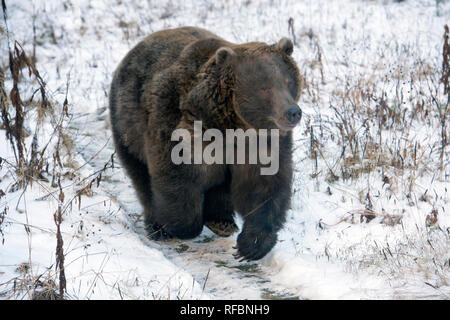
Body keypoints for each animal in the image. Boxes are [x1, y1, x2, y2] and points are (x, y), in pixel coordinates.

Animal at [109, 26, 304, 260]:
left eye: (288, 82)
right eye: (264, 87)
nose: (292, 112)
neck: (231, 125)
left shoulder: (261, 143)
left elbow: (264, 185)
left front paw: (252, 244)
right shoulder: (177, 126)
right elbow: (175, 177)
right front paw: (180, 225)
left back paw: (222, 221)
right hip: (128, 124)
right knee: (141, 176)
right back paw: (157, 225)